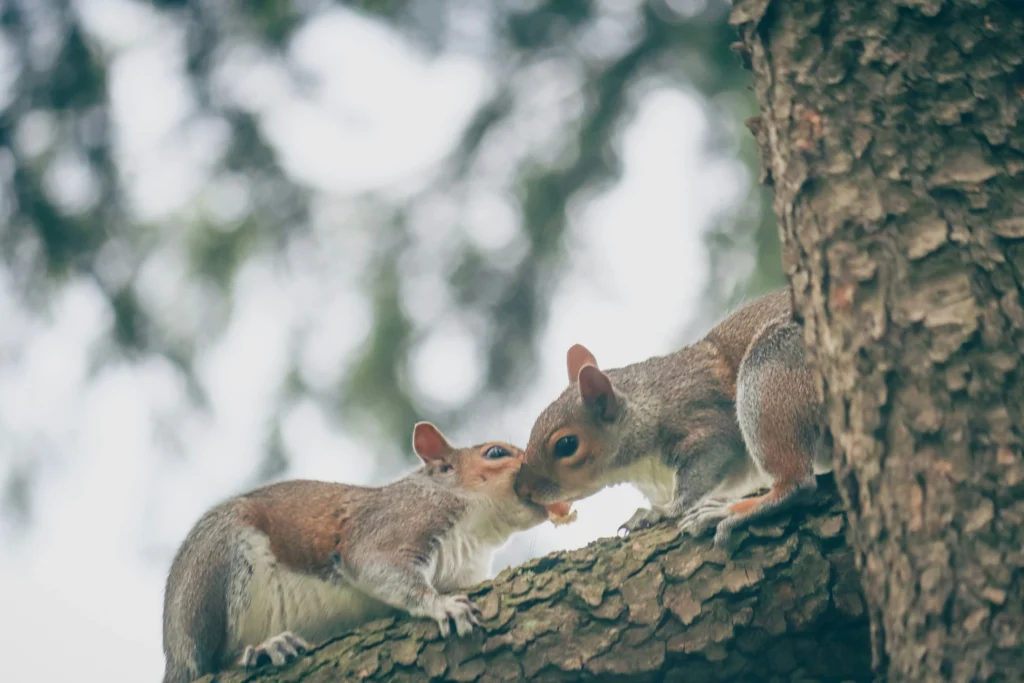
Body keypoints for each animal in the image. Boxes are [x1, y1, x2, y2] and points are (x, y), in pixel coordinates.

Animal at [162, 422, 571, 683]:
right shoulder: (390, 526)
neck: (476, 530)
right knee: (213, 662)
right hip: (218, 569)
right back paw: (263, 648)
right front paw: (442, 605)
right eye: (496, 452)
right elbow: (380, 567)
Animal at [515, 287, 831, 547]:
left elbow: (711, 457)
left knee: (797, 483)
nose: (522, 490)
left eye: (566, 445)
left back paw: (727, 512)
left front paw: (662, 512)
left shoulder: (702, 423)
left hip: (769, 371)